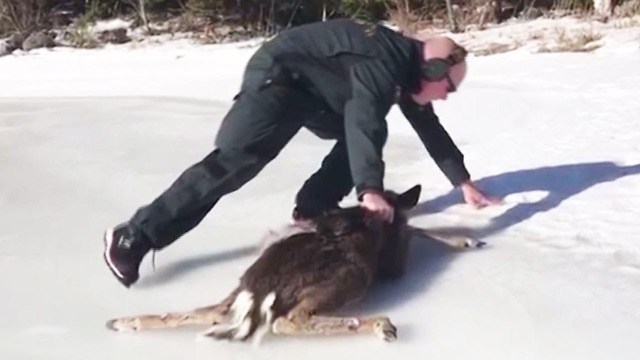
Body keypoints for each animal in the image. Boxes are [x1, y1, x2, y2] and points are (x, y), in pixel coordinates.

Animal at [106, 186, 484, 344]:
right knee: (288, 321)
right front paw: (466, 240)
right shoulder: (394, 263)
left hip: (236, 291)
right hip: (350, 278)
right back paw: (382, 325)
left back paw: (123, 322)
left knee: (206, 311)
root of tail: (257, 293)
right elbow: (416, 229)